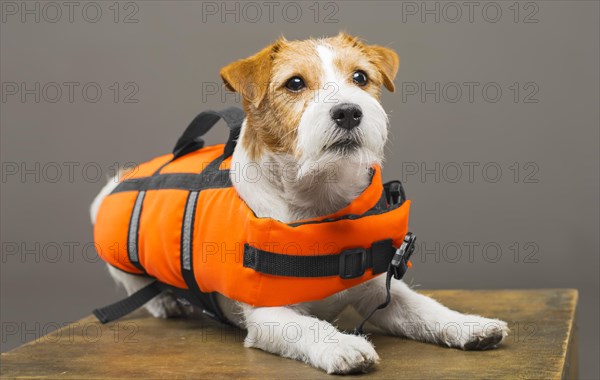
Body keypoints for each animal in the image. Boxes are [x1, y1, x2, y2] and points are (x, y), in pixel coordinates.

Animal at [90, 32, 506, 374]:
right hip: (116, 247)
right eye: (294, 83)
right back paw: (166, 303)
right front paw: (343, 345)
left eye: (360, 78)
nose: (348, 111)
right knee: (135, 282)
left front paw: (468, 324)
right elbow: (306, 326)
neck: (321, 201)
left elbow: (423, 308)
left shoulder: (378, 290)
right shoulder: (268, 314)